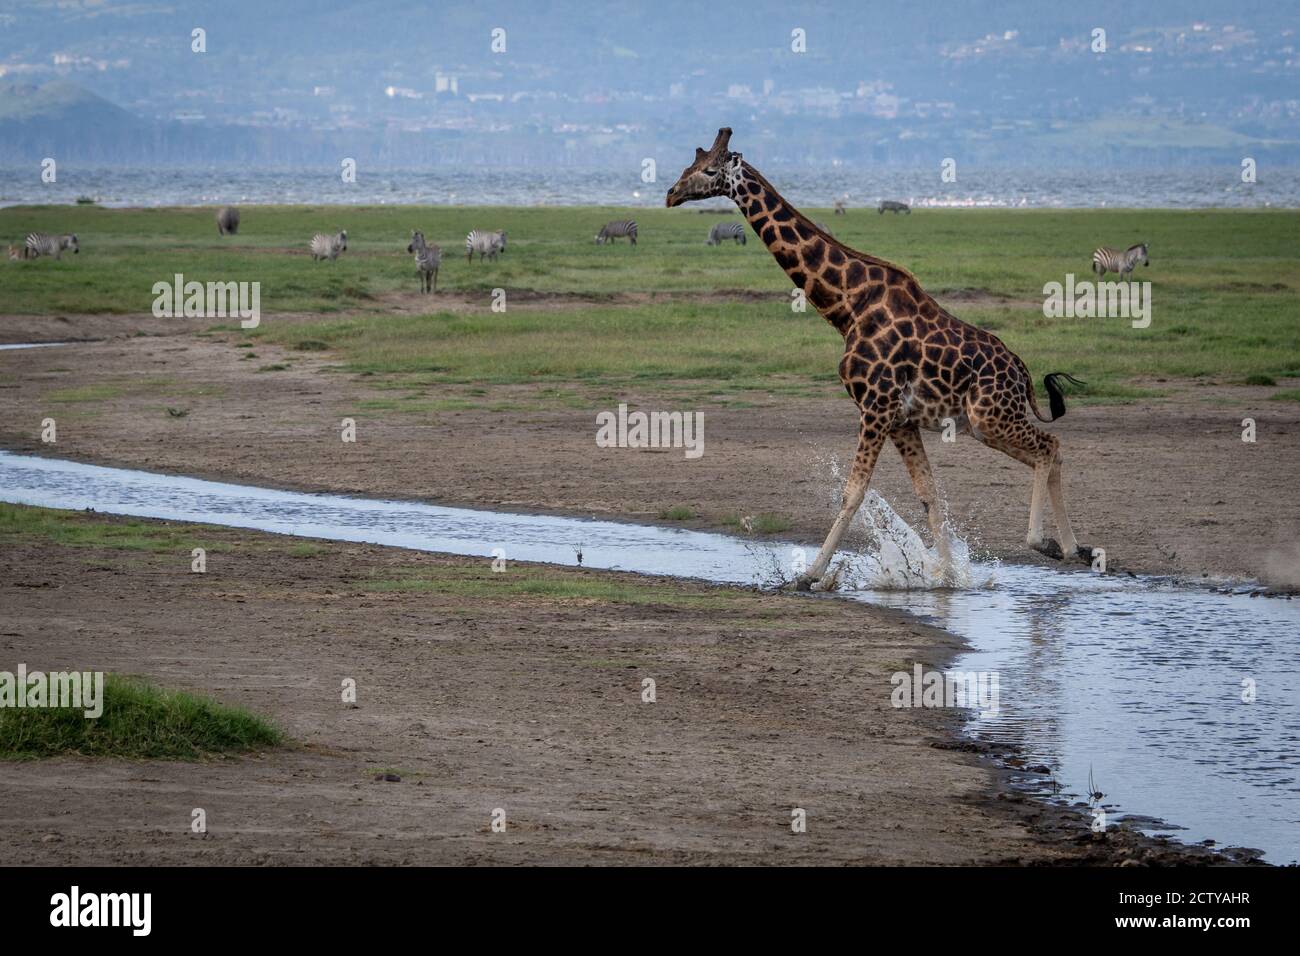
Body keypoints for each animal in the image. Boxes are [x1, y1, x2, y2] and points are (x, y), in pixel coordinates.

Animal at [665, 127, 1092, 590]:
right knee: (1050, 452)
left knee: (1049, 445)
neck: (847, 307)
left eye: (710, 170)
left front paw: (810, 575)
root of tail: (1023, 373)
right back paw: (1075, 549)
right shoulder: (901, 419)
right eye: (690, 165)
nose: (671, 193)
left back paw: (1047, 543)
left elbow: (854, 492)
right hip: (987, 423)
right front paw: (946, 575)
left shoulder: (876, 406)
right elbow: (929, 495)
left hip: (989, 416)